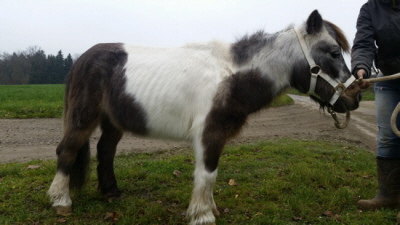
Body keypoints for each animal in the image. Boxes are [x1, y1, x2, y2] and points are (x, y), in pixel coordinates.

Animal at [48, 11, 360, 225]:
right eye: (334, 52)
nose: (354, 99)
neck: (231, 76)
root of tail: (82, 59)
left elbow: (210, 175)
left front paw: (210, 209)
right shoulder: (210, 133)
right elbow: (207, 173)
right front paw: (202, 215)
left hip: (113, 122)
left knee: (105, 150)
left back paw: (111, 192)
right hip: (83, 118)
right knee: (67, 150)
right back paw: (61, 200)